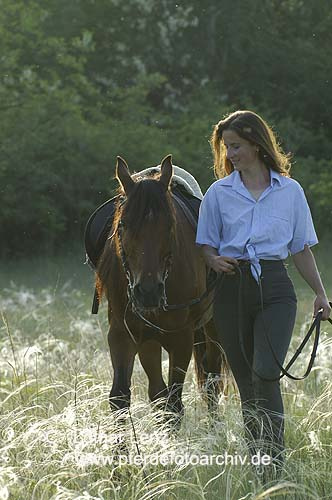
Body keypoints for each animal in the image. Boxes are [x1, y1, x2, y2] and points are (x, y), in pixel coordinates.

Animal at [96, 154, 228, 420]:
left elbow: (174, 403)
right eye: (123, 224)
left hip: (212, 328)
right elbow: (120, 397)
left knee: (211, 381)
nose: (147, 292)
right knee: (158, 390)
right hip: (150, 341)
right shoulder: (122, 335)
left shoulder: (181, 340)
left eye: (169, 225)